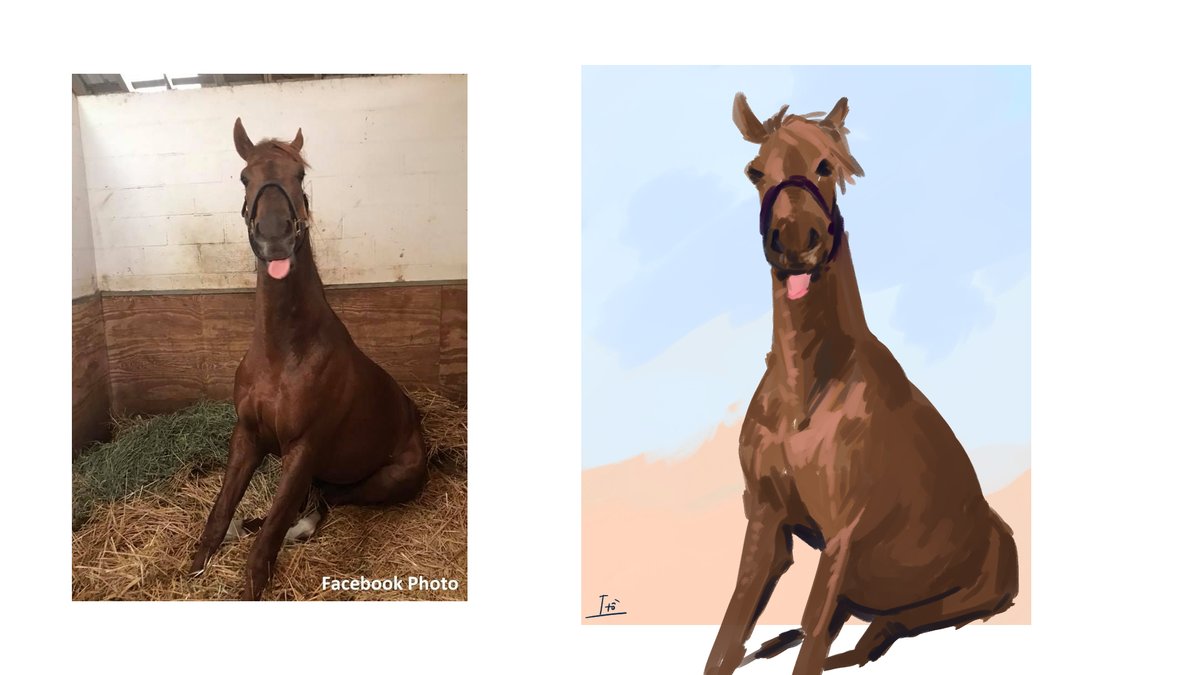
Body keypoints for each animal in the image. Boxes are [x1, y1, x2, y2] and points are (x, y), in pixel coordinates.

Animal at [188, 118, 429, 600]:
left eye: (299, 176)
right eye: (244, 177)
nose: (275, 237)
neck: (283, 354)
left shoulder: (304, 448)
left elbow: (270, 536)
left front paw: (251, 584)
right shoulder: (248, 436)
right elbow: (222, 507)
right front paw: (199, 563)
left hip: (385, 479)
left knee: (326, 501)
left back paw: (299, 528)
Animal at [704, 94, 1018, 674]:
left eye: (826, 167)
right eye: (755, 172)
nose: (795, 243)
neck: (804, 395)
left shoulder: (841, 539)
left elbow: (811, 641)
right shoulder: (765, 520)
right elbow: (732, 628)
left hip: (954, 602)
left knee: (878, 632)